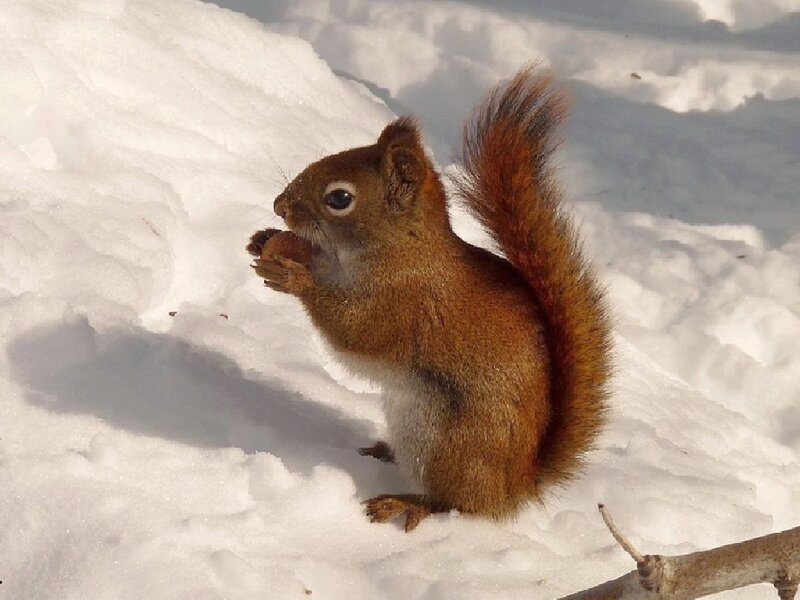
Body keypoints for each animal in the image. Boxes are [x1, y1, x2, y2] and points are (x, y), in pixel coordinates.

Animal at [247, 66, 612, 532]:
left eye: (339, 198)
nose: (279, 206)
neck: (401, 248)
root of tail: (515, 489)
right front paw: (265, 240)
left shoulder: (404, 304)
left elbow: (353, 330)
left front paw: (293, 277)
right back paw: (383, 451)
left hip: (447, 446)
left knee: (457, 504)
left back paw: (405, 503)